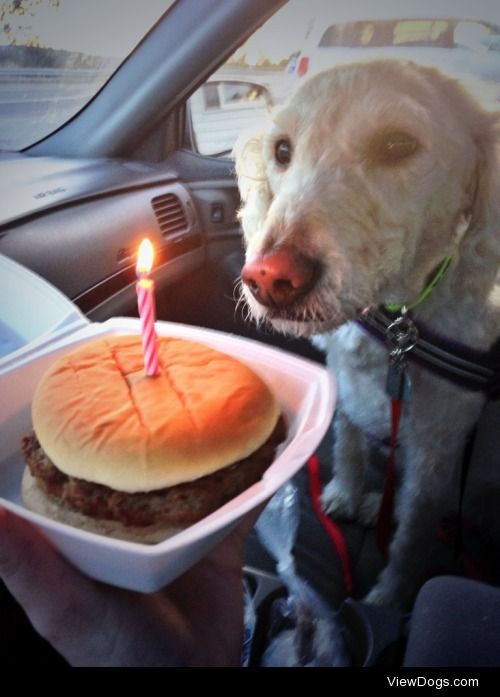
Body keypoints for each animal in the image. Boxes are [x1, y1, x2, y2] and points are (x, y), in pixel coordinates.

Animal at [236, 61, 500, 608]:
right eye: (283, 150)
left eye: (399, 144)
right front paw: (346, 492)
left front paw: (389, 598)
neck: (396, 325)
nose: (269, 278)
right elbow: (348, 439)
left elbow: (412, 532)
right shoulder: (343, 377)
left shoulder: (435, 450)